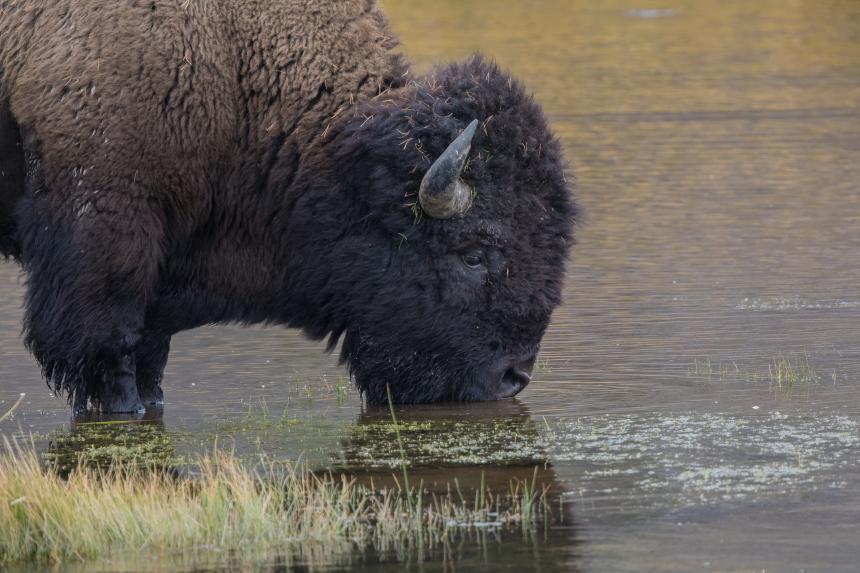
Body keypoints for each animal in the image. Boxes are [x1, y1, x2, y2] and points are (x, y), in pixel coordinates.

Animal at [1, 0, 576, 414]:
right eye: (474, 254)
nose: (512, 379)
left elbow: (150, 359)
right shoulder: (106, 232)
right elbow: (109, 349)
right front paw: (124, 409)